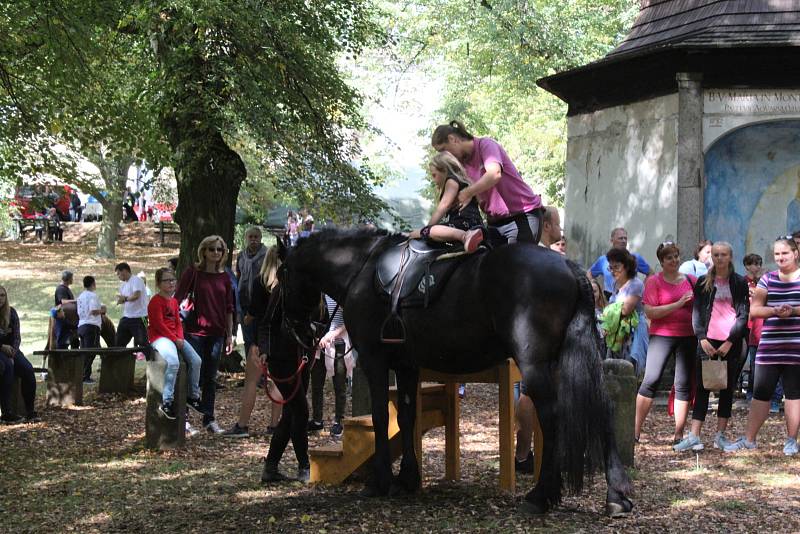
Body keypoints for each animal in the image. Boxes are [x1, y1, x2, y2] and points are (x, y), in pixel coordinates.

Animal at [278, 229, 636, 516]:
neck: (361, 270)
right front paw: (408, 477)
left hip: (536, 367)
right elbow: (406, 416)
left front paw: (381, 481)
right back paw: (616, 494)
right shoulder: (407, 366)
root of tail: (568, 266)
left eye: (281, 276)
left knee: (552, 418)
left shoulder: (374, 361)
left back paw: (541, 495)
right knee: (601, 410)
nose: (296, 330)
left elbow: (380, 416)